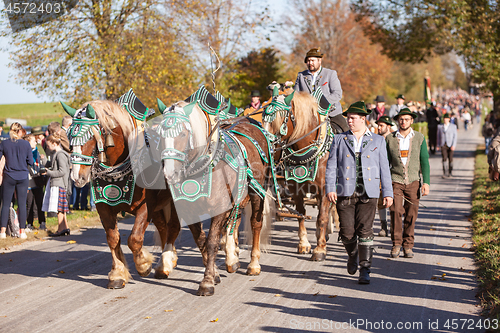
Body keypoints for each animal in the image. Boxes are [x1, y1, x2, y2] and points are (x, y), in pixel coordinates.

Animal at [62, 99, 207, 288]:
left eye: (89, 136)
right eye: (70, 138)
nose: (77, 177)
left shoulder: (145, 207)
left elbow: (134, 238)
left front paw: (143, 264)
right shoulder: (104, 209)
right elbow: (113, 238)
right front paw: (117, 274)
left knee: (173, 227)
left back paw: (165, 263)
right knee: (163, 227)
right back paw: (167, 261)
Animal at [155, 97, 274, 294]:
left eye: (182, 134)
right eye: (160, 135)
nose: (169, 174)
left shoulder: (218, 209)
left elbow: (211, 242)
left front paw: (207, 281)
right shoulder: (191, 211)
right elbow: (201, 241)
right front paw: (216, 273)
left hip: (257, 191)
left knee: (255, 224)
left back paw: (253, 264)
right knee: (233, 222)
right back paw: (232, 259)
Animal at [262, 89, 336, 260]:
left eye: (281, 117)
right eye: (263, 115)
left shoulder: (325, 190)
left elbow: (322, 217)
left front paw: (320, 249)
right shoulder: (296, 189)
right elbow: (301, 214)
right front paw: (304, 244)